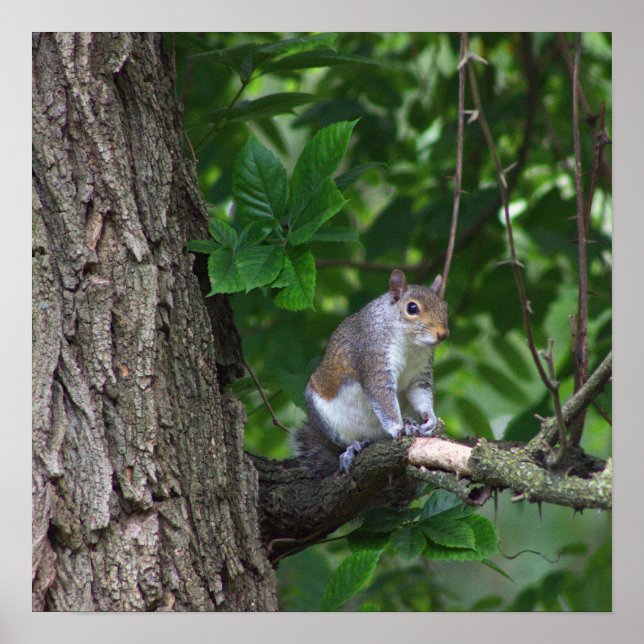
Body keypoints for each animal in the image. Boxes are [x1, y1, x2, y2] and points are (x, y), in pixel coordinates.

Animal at [293, 269, 449, 477]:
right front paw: (398, 428)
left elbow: (420, 393)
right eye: (412, 308)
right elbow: (382, 397)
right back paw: (352, 449)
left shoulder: (419, 374)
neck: (411, 344)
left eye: (445, 307)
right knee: (345, 443)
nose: (443, 334)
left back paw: (410, 422)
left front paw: (430, 420)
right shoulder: (373, 357)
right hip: (328, 421)